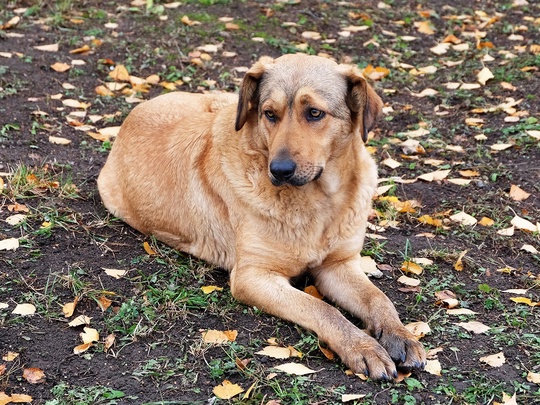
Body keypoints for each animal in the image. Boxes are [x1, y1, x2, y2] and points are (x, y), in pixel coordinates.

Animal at [97, 53, 426, 378]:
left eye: (315, 113)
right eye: (269, 114)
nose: (279, 170)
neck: (317, 201)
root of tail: (135, 111)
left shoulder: (339, 265)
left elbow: (378, 298)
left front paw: (400, 334)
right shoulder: (253, 276)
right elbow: (322, 309)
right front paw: (362, 346)